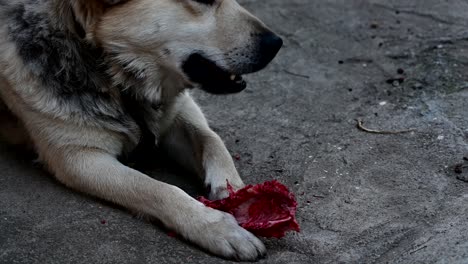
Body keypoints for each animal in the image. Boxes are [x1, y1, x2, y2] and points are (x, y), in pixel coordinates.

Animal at [0, 0, 282, 260]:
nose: (277, 43)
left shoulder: (177, 111)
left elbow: (211, 139)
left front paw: (237, 190)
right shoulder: (77, 158)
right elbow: (158, 189)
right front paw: (215, 226)